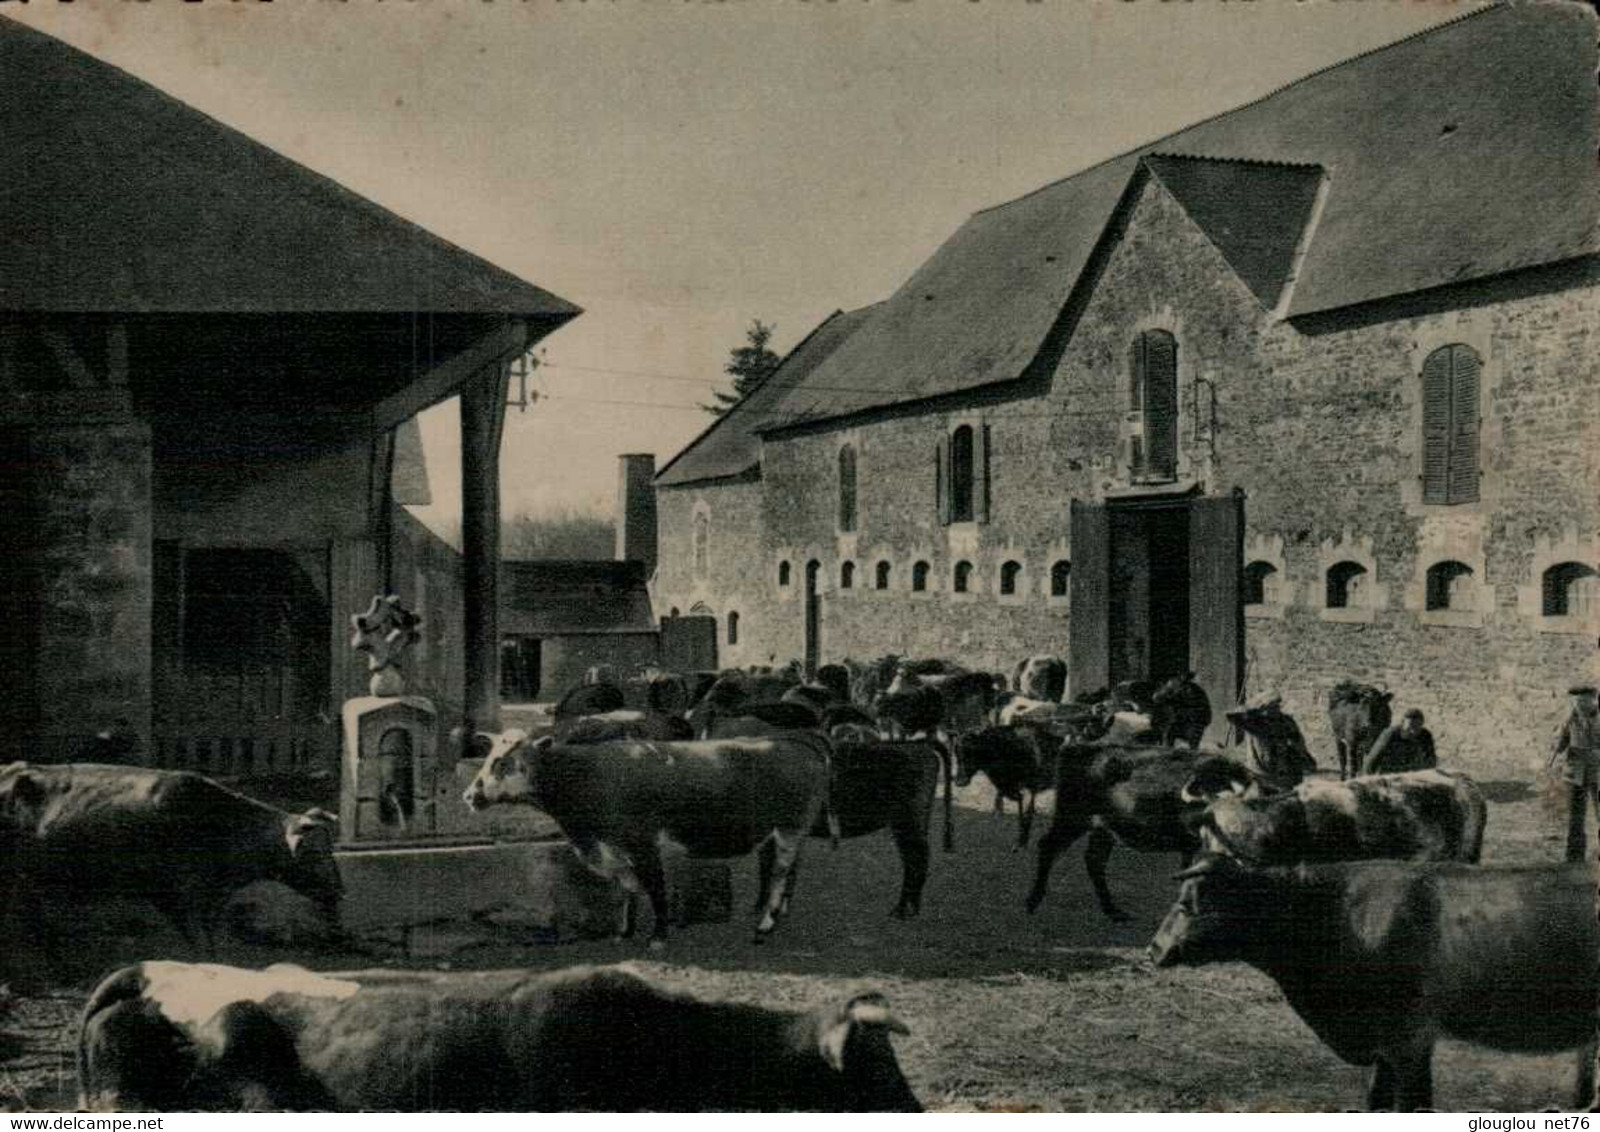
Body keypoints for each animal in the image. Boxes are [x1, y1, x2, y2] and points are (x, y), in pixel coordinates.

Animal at [464, 725, 832, 946]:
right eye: (489, 757)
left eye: (504, 762)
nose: (469, 795)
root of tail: (792, 739)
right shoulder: (613, 849)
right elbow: (628, 888)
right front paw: (624, 931)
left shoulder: (643, 845)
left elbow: (655, 889)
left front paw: (659, 934)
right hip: (777, 832)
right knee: (782, 868)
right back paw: (774, 912)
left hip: (789, 828)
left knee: (781, 871)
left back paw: (766, 923)